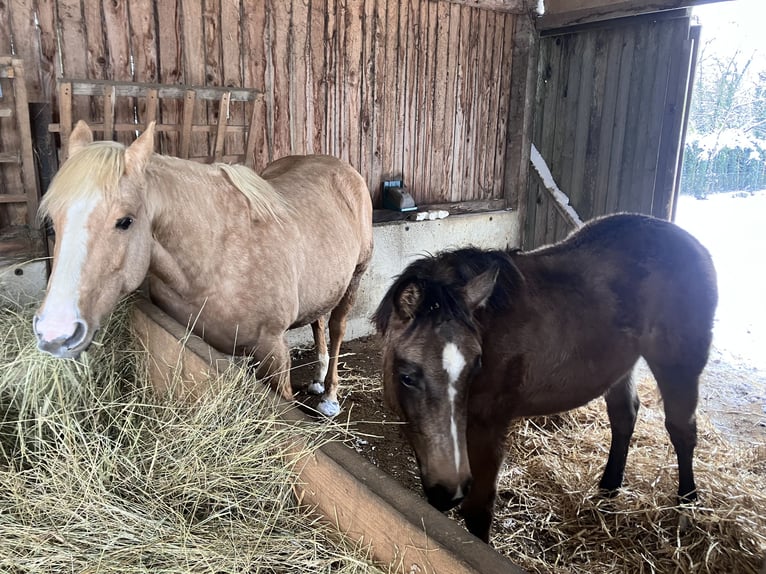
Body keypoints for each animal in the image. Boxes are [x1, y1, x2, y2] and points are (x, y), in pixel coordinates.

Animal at [34, 120, 373, 417]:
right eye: (52, 219)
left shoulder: (273, 350)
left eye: (125, 221)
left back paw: (329, 396)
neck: (213, 259)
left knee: (336, 327)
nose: (54, 333)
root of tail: (342, 169)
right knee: (318, 321)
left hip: (356, 276)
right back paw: (317, 380)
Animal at [373, 213, 717, 542]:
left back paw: (687, 506)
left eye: (477, 366)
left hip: (678, 365)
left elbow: (478, 509)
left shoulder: (487, 428)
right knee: (624, 415)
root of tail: (693, 244)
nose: (451, 489)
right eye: (406, 377)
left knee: (682, 430)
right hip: (621, 364)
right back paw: (609, 488)